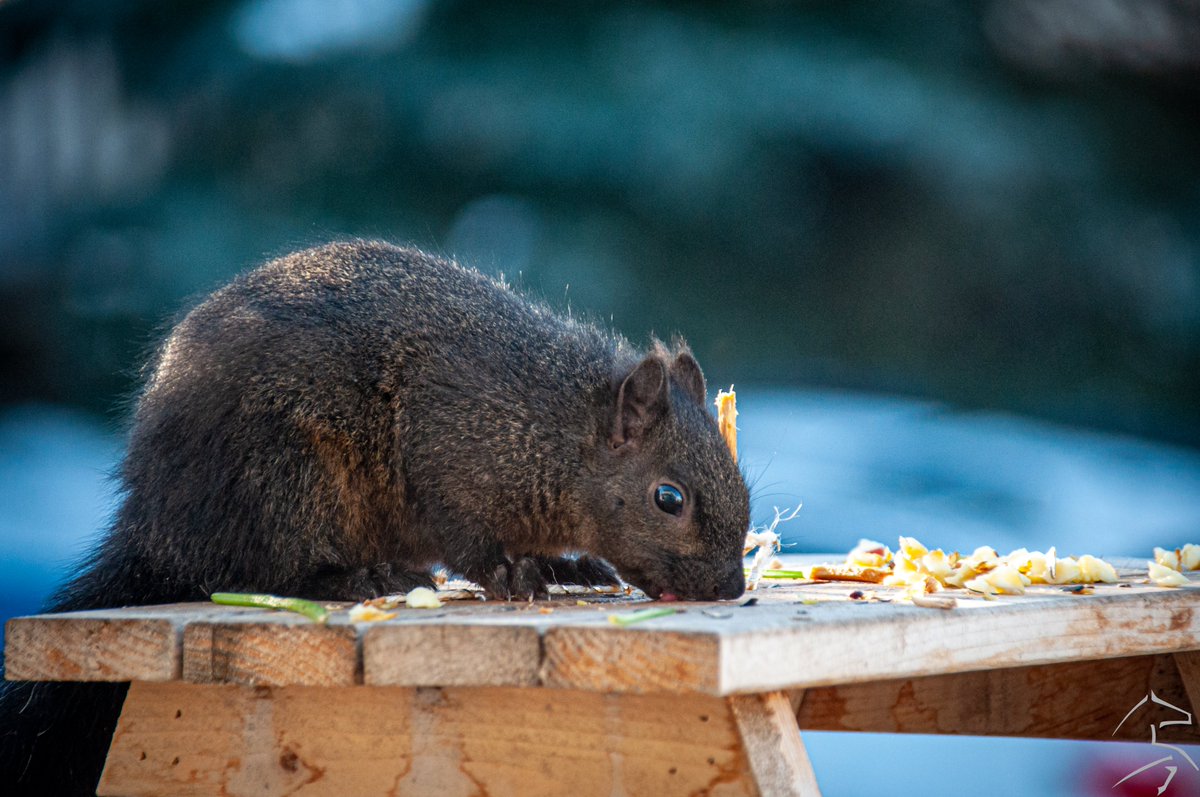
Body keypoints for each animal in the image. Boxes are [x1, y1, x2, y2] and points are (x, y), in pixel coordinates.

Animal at [1, 241, 749, 795]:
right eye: (669, 498)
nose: (731, 587)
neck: (556, 431)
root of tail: (155, 524)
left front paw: (571, 564)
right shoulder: (447, 451)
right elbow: (467, 539)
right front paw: (514, 573)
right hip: (283, 479)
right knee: (264, 570)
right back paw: (362, 577)